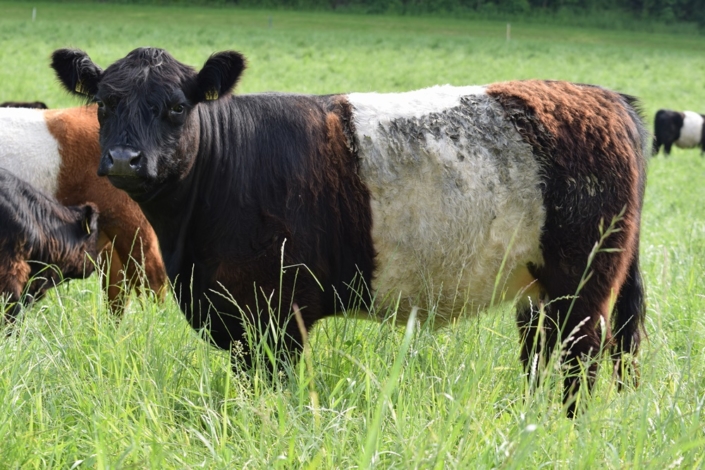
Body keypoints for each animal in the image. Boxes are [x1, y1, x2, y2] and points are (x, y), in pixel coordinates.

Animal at [52, 46, 648, 414]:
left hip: (584, 286)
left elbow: (268, 390)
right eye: (103, 103)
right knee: (550, 353)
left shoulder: (274, 314)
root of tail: (606, 97)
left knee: (582, 360)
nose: (125, 159)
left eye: (176, 107)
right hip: (539, 289)